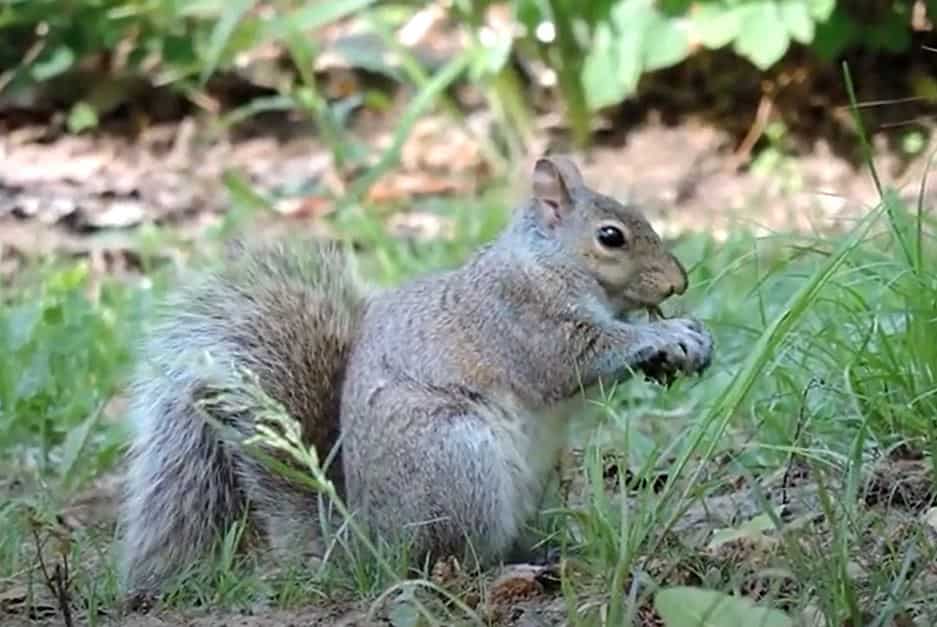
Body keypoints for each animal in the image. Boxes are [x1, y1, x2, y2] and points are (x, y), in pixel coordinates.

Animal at [120, 157, 712, 600]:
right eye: (611, 237)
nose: (678, 282)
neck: (545, 262)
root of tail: (368, 543)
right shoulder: (522, 320)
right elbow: (574, 360)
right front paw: (665, 336)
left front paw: (687, 338)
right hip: (457, 463)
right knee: (447, 564)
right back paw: (506, 572)